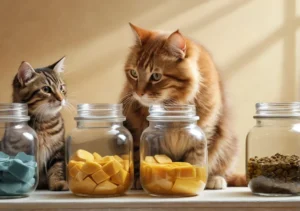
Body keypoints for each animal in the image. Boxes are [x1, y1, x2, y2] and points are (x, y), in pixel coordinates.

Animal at [11, 57, 68, 191]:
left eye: (61, 88)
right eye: (46, 89)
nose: (61, 99)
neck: (43, 122)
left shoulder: (58, 150)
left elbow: (57, 168)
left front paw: (58, 183)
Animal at [119, 23, 246, 190]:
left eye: (156, 76)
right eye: (134, 73)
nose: (138, 93)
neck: (173, 105)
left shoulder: (204, 130)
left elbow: (195, 161)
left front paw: (191, 181)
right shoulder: (137, 129)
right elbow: (139, 155)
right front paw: (140, 180)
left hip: (227, 145)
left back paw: (215, 179)